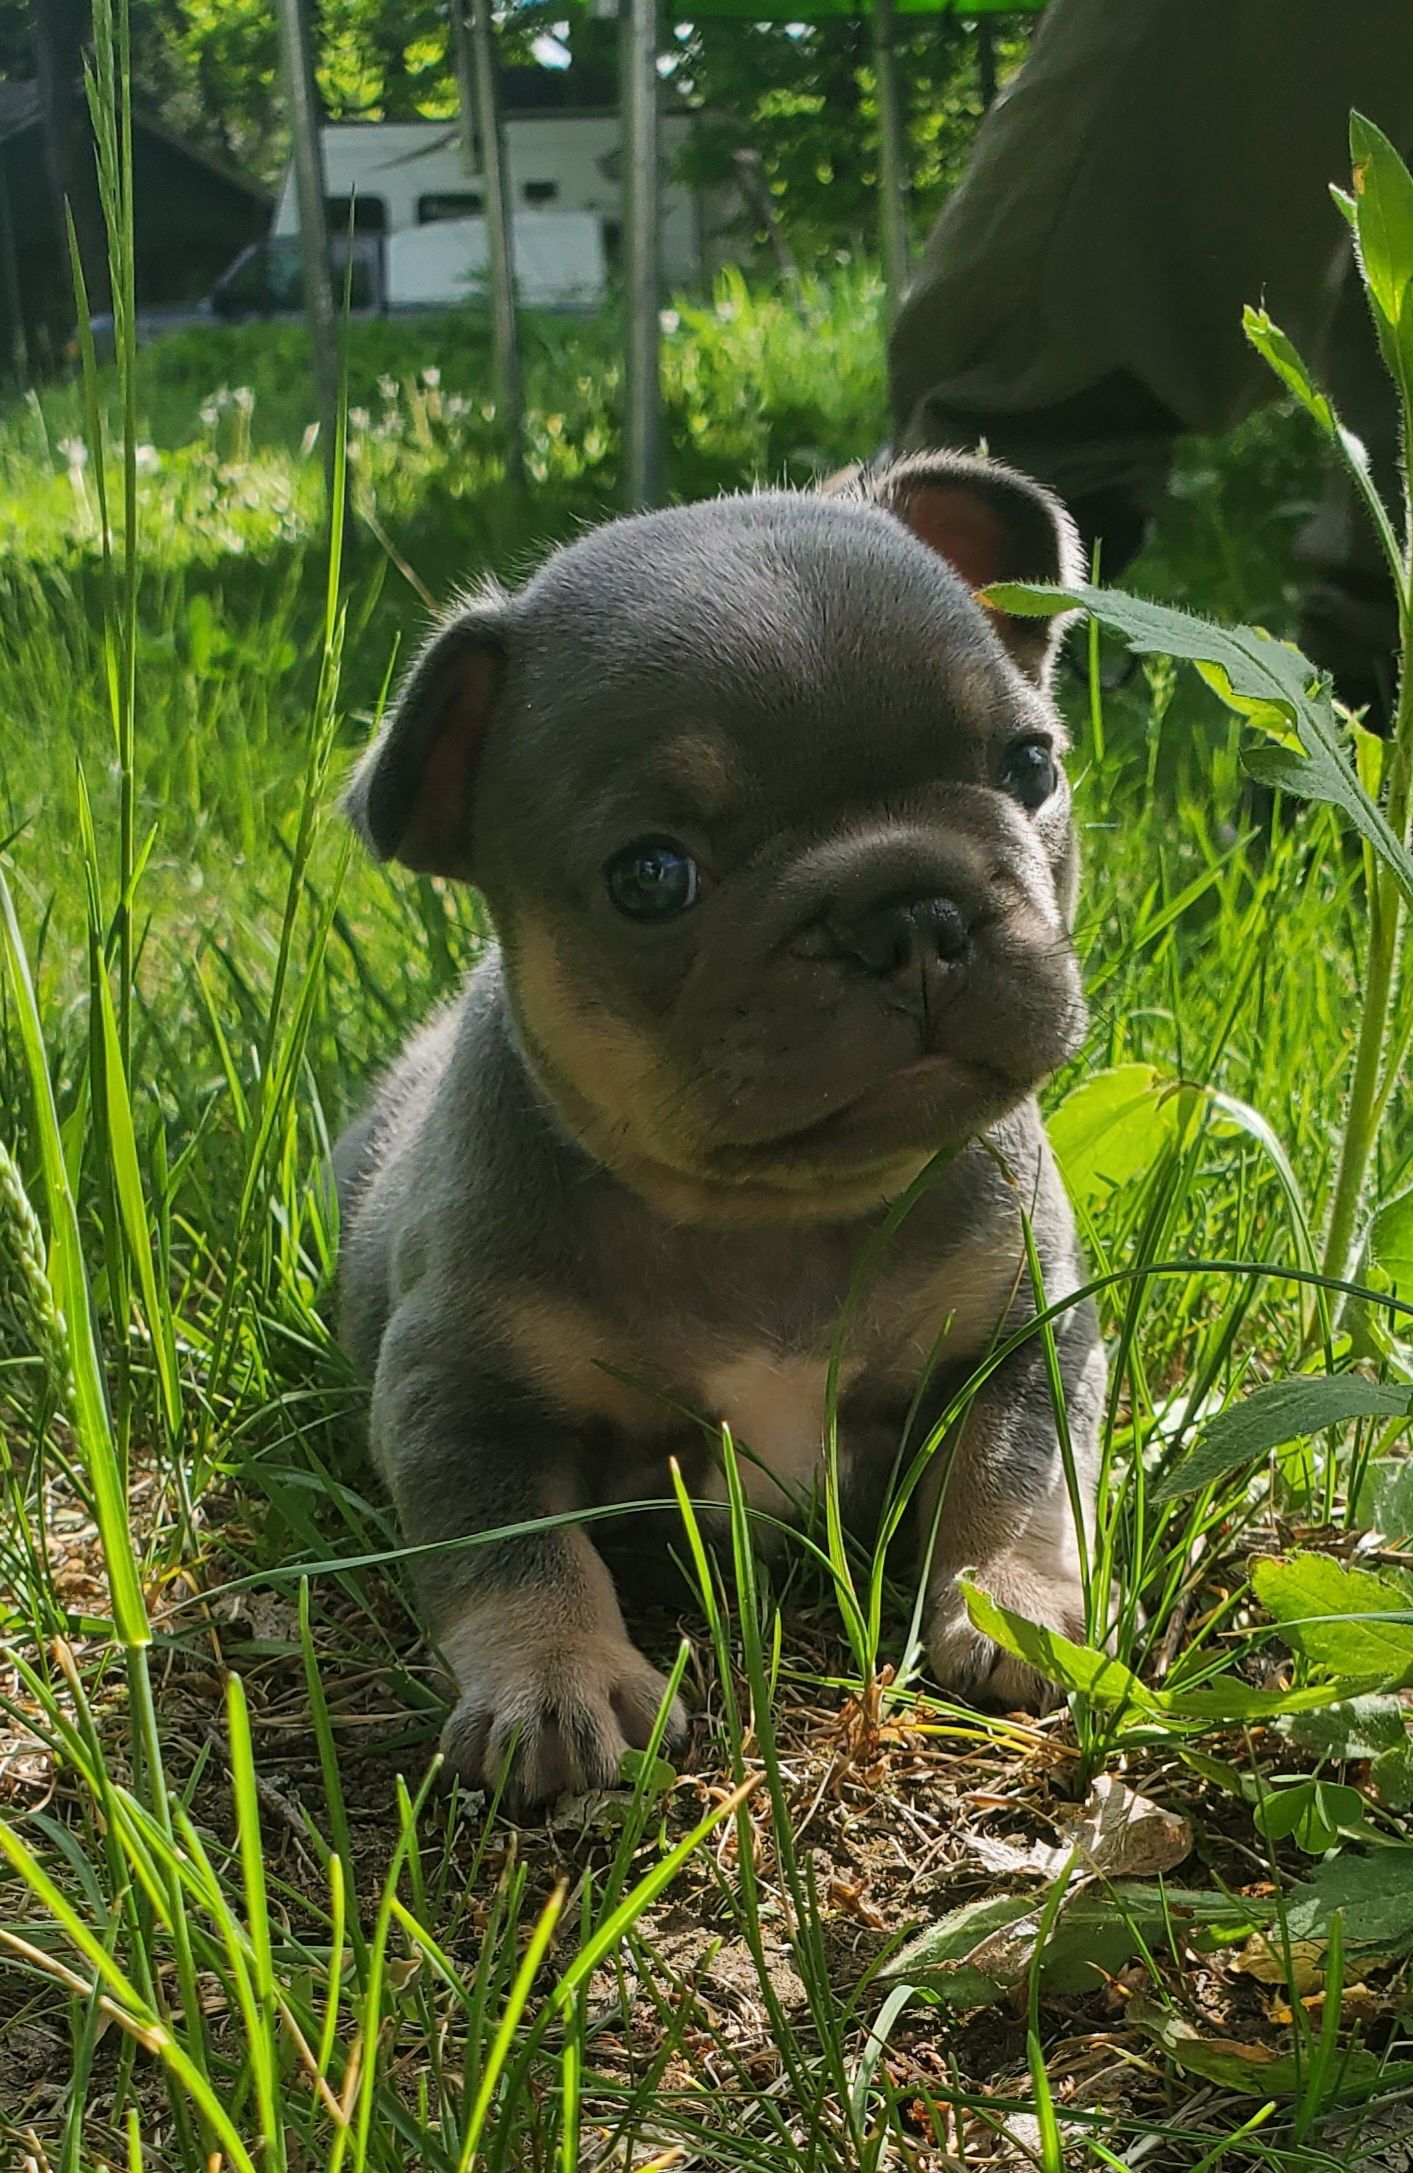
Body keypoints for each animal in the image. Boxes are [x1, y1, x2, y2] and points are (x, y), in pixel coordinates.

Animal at [339, 458, 1099, 1816]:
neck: (775, 1212)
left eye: (1028, 766)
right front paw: (556, 1679)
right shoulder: (460, 1394)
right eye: (653, 876)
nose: (909, 911)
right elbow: (516, 1548)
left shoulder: (1027, 1332)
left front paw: (1012, 1606)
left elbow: (1015, 1472)